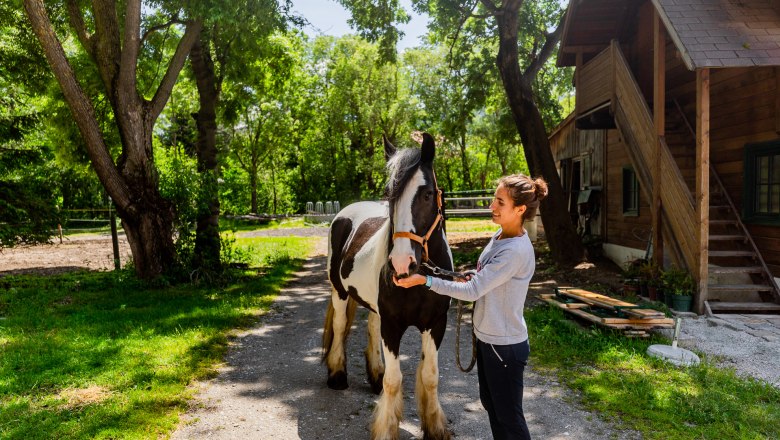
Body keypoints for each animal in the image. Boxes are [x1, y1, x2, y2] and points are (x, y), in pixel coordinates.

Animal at [323, 133, 453, 440]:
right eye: (390, 195)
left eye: (427, 194)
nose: (401, 263)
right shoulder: (393, 326)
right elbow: (395, 381)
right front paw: (385, 429)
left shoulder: (436, 323)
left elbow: (430, 376)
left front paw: (434, 428)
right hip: (339, 292)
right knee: (339, 327)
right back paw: (337, 375)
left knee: (371, 327)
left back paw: (374, 375)